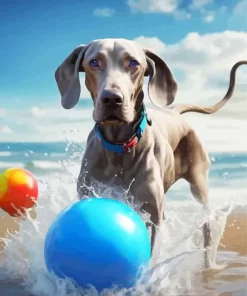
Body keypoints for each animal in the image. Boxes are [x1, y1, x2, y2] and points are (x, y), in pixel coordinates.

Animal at [54, 37, 247, 266]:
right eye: (94, 62)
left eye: (133, 63)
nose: (112, 99)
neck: (119, 146)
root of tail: (173, 112)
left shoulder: (153, 213)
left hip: (199, 184)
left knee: (206, 224)